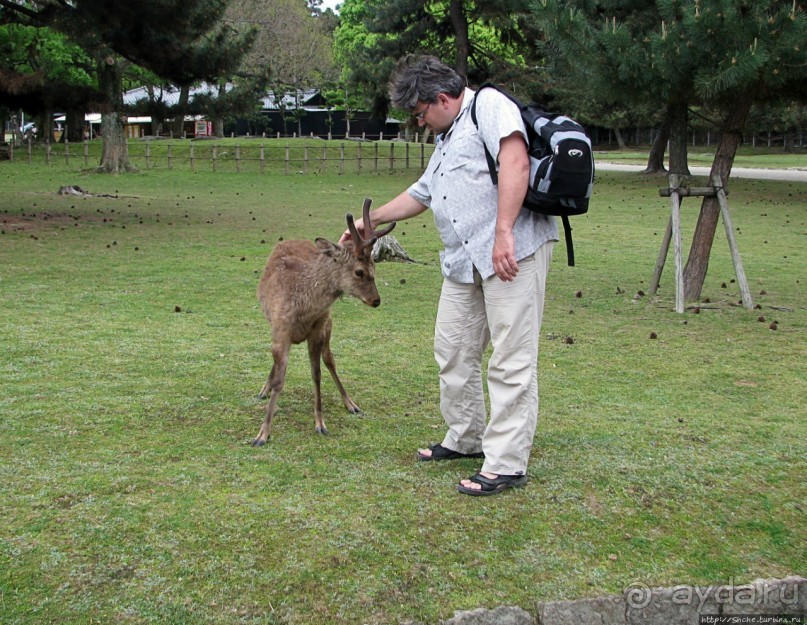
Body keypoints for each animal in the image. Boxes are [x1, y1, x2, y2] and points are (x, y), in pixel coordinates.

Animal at [249, 197, 394, 446]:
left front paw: (320, 422)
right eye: (359, 271)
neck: (303, 307)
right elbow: (279, 379)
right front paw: (262, 433)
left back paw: (351, 403)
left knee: (330, 359)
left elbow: (316, 374)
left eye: (374, 267)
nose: (376, 300)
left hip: (329, 323)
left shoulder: (318, 328)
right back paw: (264, 389)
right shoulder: (280, 329)